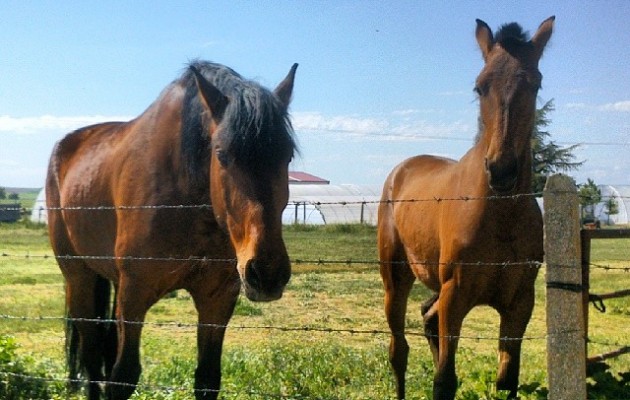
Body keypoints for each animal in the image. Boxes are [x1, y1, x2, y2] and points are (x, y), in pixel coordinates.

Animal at [47, 60, 298, 400]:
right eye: (222, 154)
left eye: (287, 156)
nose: (267, 272)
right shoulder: (134, 295)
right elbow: (123, 376)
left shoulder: (217, 299)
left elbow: (207, 378)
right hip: (79, 278)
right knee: (91, 354)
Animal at [378, 17, 556, 398]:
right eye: (480, 86)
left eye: (535, 84)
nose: (501, 170)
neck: (501, 218)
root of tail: (400, 171)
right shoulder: (455, 295)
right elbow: (444, 380)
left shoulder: (520, 302)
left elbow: (507, 379)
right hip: (394, 279)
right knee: (399, 350)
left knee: (427, 318)